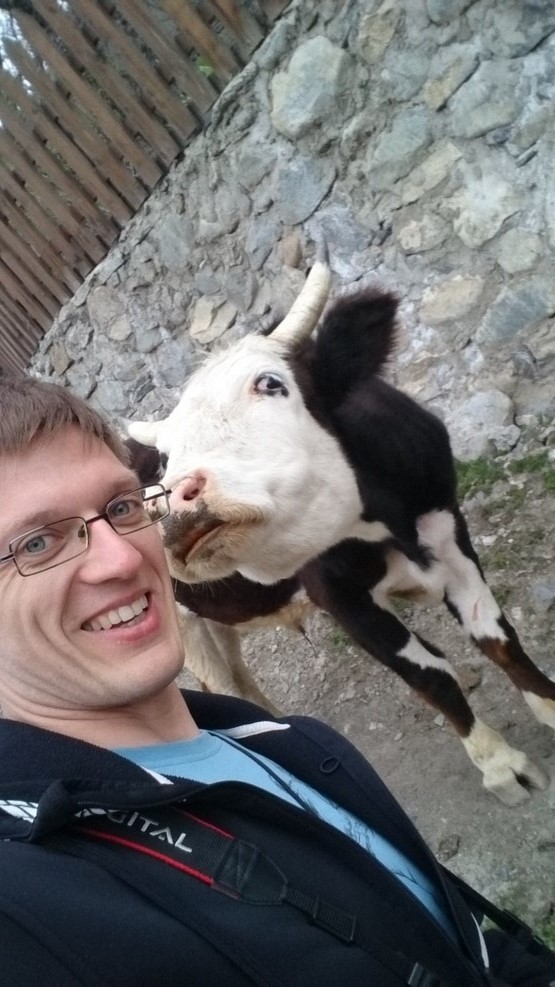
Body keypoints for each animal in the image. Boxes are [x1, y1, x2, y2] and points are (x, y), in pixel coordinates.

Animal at [127, 252, 555, 806]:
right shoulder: (337, 595)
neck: (390, 524)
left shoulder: (449, 529)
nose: (176, 504)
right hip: (176, 619)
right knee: (221, 682)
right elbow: (427, 674)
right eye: (165, 456)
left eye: (271, 383)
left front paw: (548, 709)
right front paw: (500, 765)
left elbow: (497, 637)